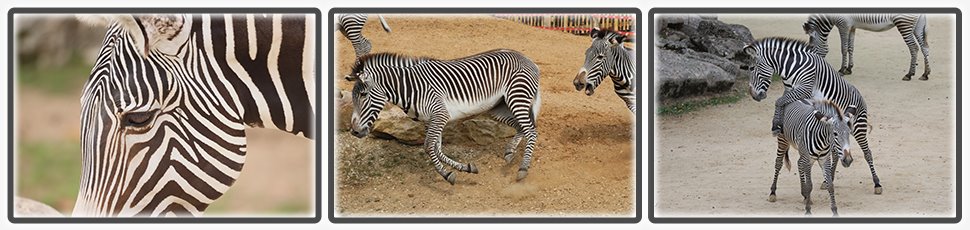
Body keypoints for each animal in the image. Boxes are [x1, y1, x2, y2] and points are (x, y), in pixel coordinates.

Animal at [346, 49, 544, 184]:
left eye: (363, 95)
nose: (354, 132)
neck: (410, 87)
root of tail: (526, 58)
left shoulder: (440, 114)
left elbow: (428, 147)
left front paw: (447, 174)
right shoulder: (430, 120)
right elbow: (437, 148)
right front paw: (466, 168)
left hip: (516, 97)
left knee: (531, 131)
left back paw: (523, 167)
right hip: (497, 108)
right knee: (521, 127)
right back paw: (510, 152)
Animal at [744, 36, 880, 195]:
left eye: (751, 68)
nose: (754, 96)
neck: (792, 67)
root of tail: (860, 96)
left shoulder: (805, 89)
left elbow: (779, 101)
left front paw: (776, 124)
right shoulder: (790, 91)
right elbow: (783, 102)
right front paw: (779, 123)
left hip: (859, 127)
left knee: (867, 152)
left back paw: (877, 183)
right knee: (836, 153)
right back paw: (828, 180)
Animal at [796, 13, 928, 81]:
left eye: (811, 47)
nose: (815, 67)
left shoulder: (843, 25)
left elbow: (843, 48)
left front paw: (842, 70)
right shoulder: (852, 27)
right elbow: (850, 47)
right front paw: (849, 68)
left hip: (904, 23)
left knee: (914, 48)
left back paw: (909, 74)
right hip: (917, 26)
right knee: (924, 47)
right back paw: (925, 74)